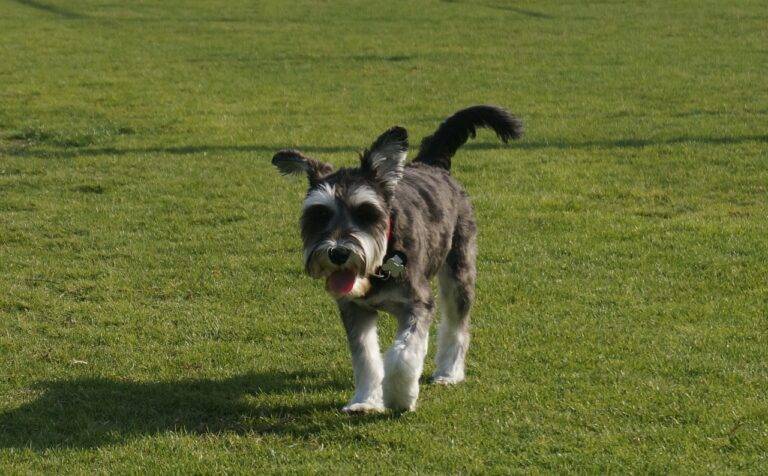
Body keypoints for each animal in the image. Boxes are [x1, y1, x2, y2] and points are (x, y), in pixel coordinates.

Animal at [270, 106, 520, 410]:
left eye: (366, 212)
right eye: (319, 214)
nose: (338, 252)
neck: (383, 260)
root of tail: (430, 164)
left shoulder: (418, 303)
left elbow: (403, 355)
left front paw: (399, 396)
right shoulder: (354, 308)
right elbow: (366, 357)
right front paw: (365, 401)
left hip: (459, 271)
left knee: (456, 324)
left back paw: (449, 372)